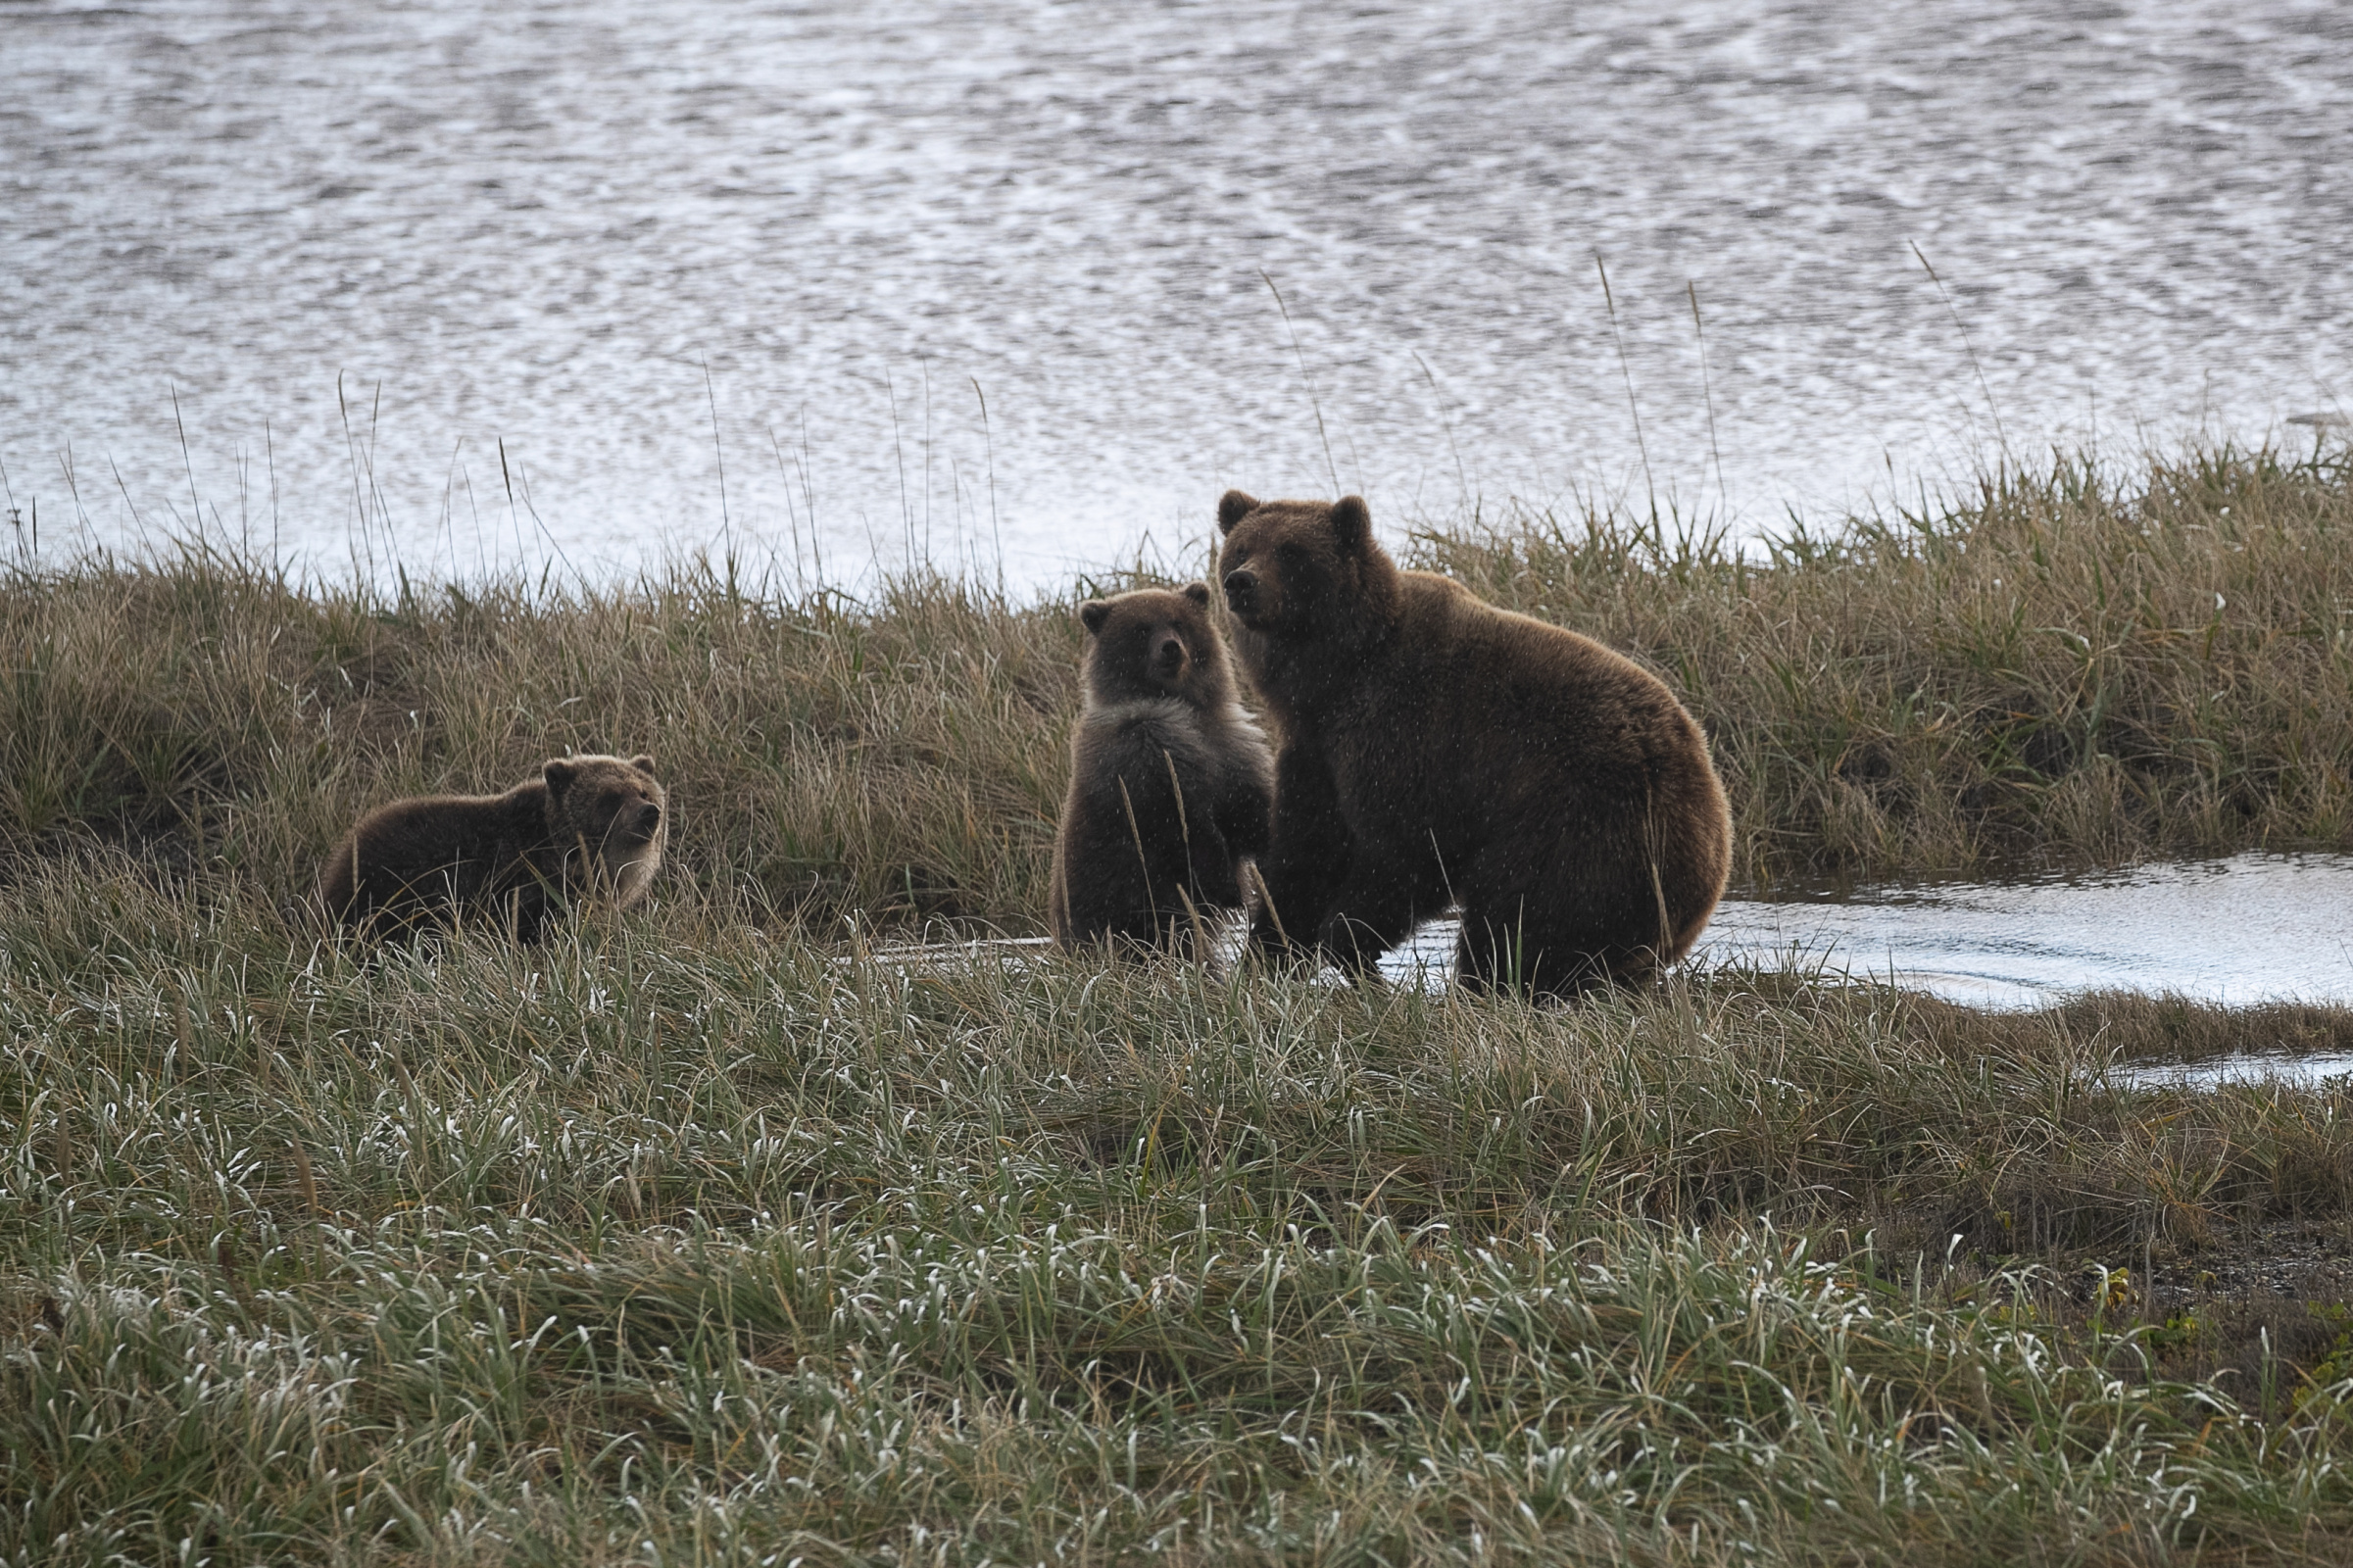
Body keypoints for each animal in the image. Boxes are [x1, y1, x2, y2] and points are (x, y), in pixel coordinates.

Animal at [1049, 583, 1270, 951]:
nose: (1170, 648)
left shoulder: (1229, 746)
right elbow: (1183, 820)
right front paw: (1228, 887)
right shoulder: (1142, 754)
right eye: (1141, 629)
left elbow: (1250, 806)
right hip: (1118, 907)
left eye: (1178, 621)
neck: (1179, 705)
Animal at [1213, 494, 1732, 993]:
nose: (1241, 582)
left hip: (1586, 821)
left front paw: (1346, 939)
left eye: (1291, 552)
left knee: (1520, 913)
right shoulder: (1315, 747)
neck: (1338, 673)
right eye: (1240, 548)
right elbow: (1306, 854)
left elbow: (1406, 845)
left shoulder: (1406, 731)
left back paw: (1481, 985)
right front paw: (1266, 954)